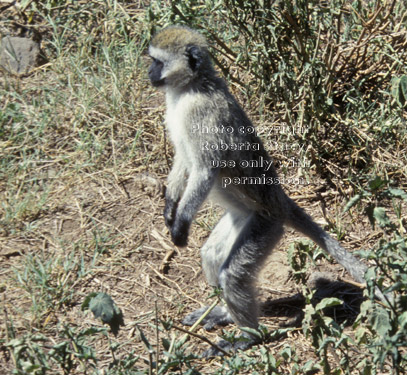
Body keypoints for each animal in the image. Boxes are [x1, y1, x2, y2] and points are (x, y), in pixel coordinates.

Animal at [149, 25, 370, 356]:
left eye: (158, 62)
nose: (149, 73)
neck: (189, 89)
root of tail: (279, 200)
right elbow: (182, 163)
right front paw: (169, 207)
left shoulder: (203, 117)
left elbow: (203, 171)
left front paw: (181, 225)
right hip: (243, 217)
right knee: (212, 254)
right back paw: (223, 313)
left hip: (266, 225)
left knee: (233, 275)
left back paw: (249, 336)